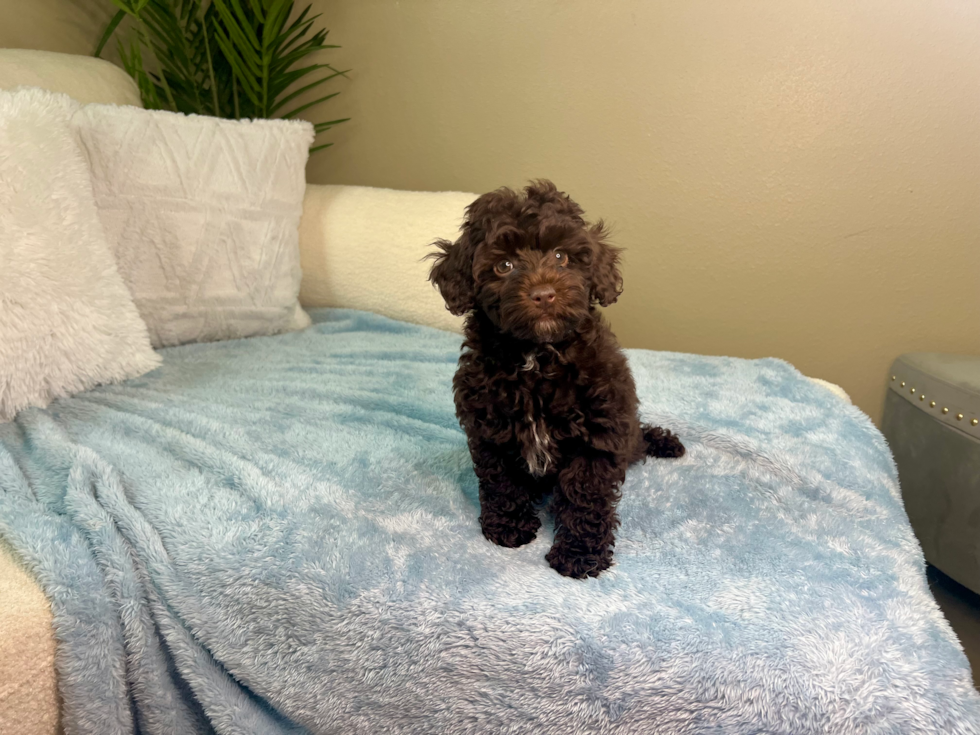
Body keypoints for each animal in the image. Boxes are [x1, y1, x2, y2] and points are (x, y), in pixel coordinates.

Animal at [424, 180, 684, 580]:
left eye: (561, 256)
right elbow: (501, 481)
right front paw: (509, 527)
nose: (544, 294)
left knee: (637, 439)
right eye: (504, 265)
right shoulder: (491, 427)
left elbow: (585, 495)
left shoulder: (596, 435)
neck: (537, 357)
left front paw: (579, 554)